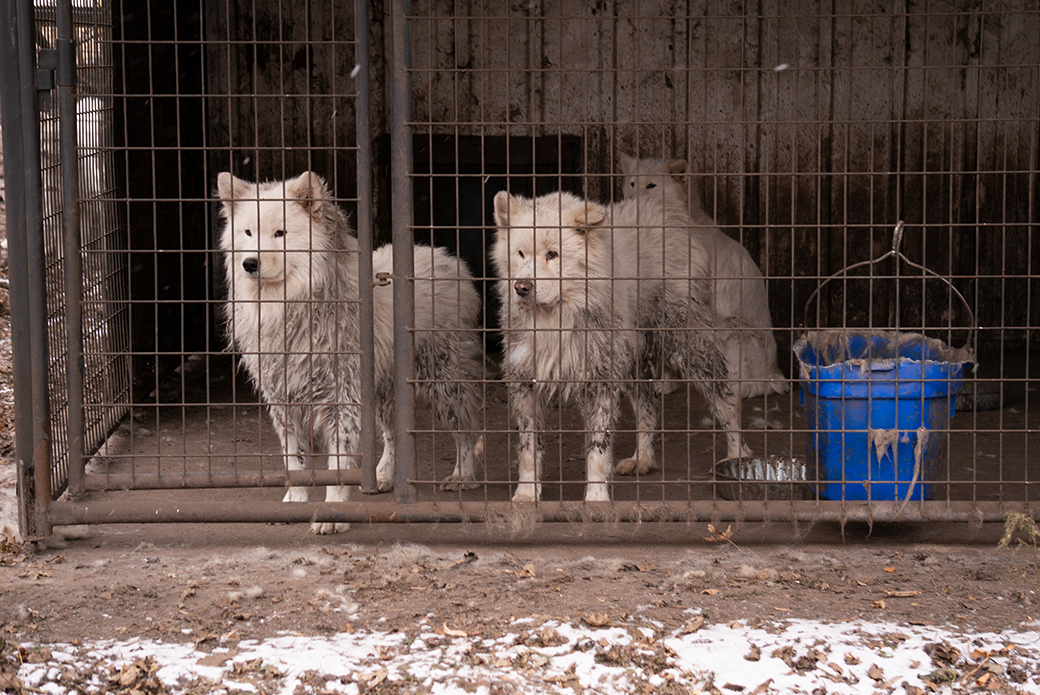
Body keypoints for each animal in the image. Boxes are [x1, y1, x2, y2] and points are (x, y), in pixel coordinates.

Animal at [218, 169, 482, 532]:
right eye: (247, 232)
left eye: (280, 233)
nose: (249, 263)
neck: (292, 303)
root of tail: (446, 258)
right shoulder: (284, 398)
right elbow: (295, 462)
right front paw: (295, 503)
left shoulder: (341, 398)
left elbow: (338, 464)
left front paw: (332, 513)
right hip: (385, 391)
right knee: (393, 435)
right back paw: (383, 475)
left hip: (443, 379)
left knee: (466, 430)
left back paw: (463, 475)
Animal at [492, 188, 748, 499]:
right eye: (520, 254)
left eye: (552, 254)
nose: (521, 287)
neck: (556, 319)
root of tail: (667, 210)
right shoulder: (525, 380)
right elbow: (528, 447)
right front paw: (527, 493)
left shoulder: (600, 380)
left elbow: (598, 448)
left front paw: (596, 497)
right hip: (631, 360)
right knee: (649, 405)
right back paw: (643, 459)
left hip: (687, 344)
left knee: (726, 400)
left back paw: (737, 456)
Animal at [615, 155, 786, 399]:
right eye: (631, 184)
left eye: (651, 185)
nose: (629, 203)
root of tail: (773, 375)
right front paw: (666, 382)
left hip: (728, 332)